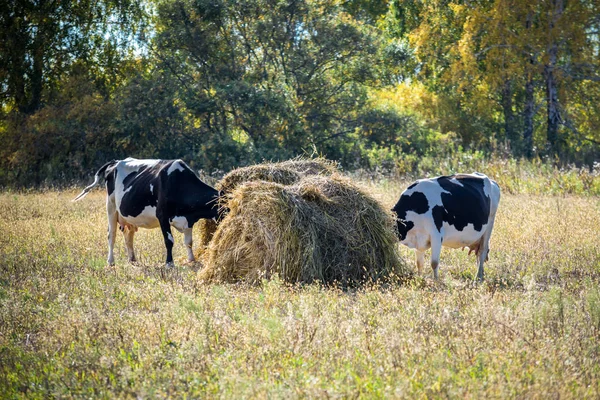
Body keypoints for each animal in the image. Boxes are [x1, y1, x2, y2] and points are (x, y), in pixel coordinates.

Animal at [72, 158, 221, 268]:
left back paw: (132, 259)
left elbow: (189, 242)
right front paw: (169, 263)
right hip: (111, 206)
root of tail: (116, 161)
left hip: (128, 216)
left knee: (128, 235)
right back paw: (111, 262)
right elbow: (169, 240)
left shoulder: (188, 220)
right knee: (111, 235)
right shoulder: (162, 216)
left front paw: (191, 260)